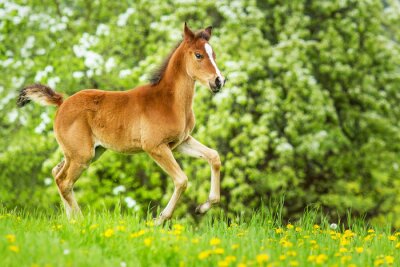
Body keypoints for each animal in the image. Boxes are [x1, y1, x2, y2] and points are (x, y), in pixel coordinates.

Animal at [17, 23, 225, 225]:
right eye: (198, 55)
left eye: (213, 55)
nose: (219, 81)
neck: (169, 102)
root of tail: (62, 103)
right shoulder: (155, 147)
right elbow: (182, 180)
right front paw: (159, 219)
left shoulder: (180, 142)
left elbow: (214, 157)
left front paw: (203, 207)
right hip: (82, 155)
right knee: (64, 181)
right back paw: (80, 222)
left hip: (86, 152)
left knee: (57, 174)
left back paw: (71, 221)